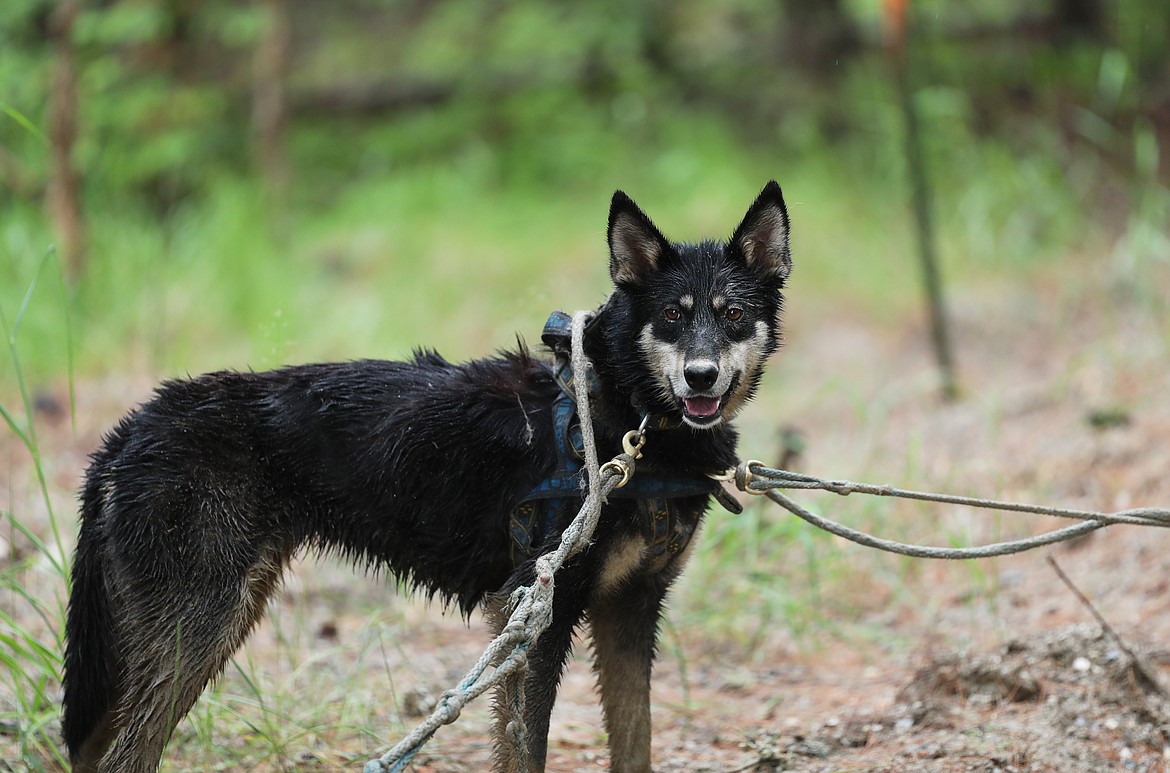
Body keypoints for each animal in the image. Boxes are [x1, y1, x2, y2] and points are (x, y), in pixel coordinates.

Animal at [66, 178, 795, 767]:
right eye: (672, 315)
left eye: (733, 315)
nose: (700, 376)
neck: (626, 417)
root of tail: (132, 426)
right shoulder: (533, 614)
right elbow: (525, 751)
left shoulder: (631, 609)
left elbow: (635, 744)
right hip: (199, 627)